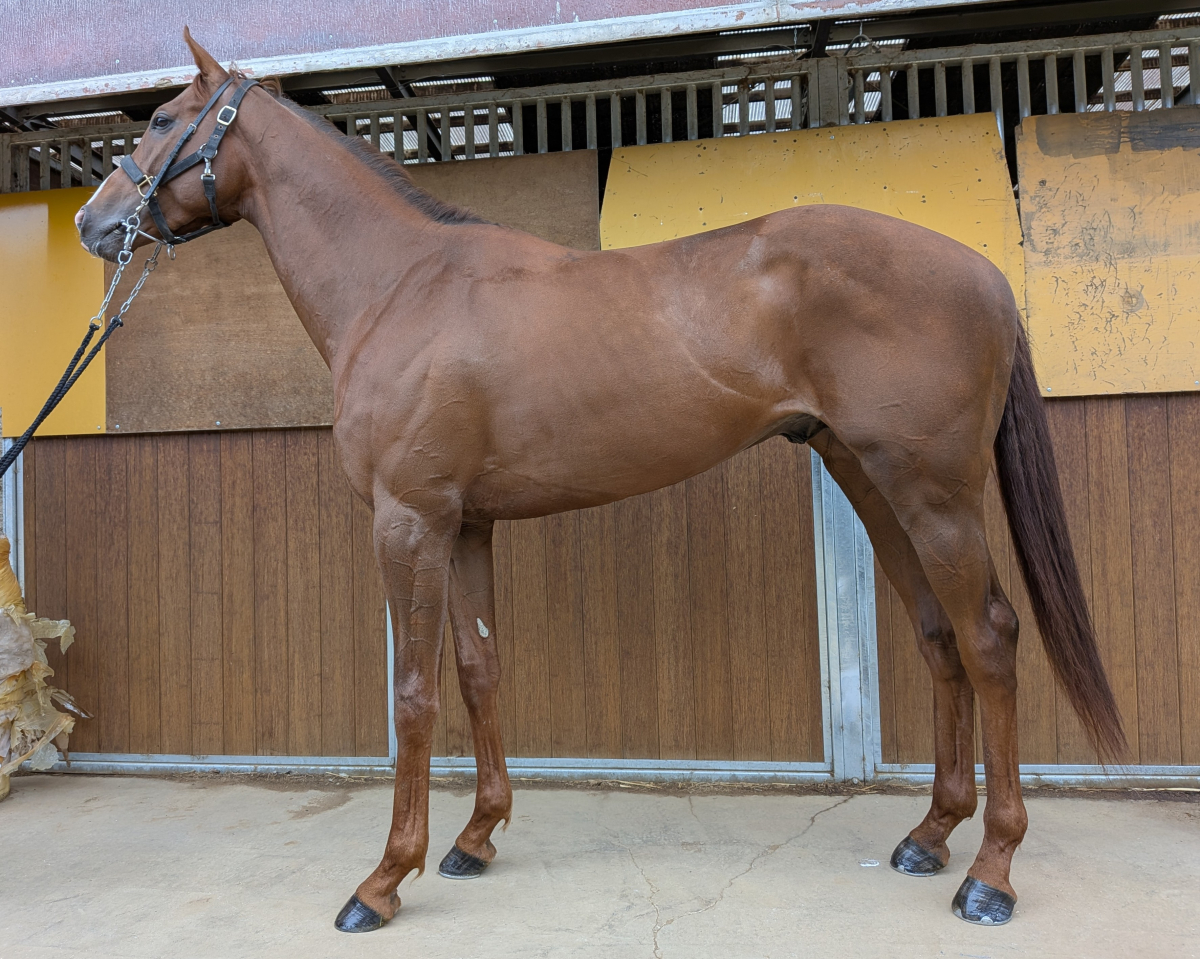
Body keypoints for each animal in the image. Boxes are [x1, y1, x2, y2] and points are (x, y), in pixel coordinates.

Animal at [75, 30, 1125, 933]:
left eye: (164, 118)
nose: (94, 222)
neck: (401, 287)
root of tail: (983, 272)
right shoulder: (467, 523)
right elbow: (479, 668)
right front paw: (476, 838)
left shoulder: (409, 521)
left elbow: (414, 692)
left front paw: (383, 879)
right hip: (874, 485)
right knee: (940, 635)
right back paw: (930, 835)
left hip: (935, 496)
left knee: (990, 639)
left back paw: (990, 873)